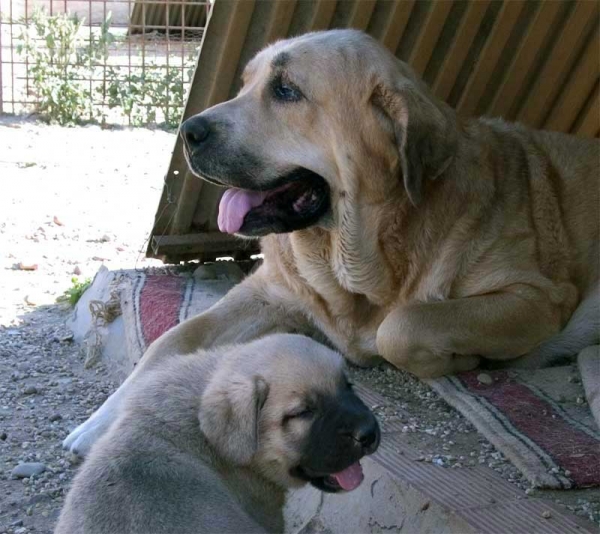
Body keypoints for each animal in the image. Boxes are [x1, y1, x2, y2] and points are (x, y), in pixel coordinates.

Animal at [63, 29, 596, 456]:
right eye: (245, 84)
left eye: (286, 90)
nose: (186, 131)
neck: (362, 256)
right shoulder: (268, 293)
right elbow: (170, 341)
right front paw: (100, 424)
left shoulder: (538, 297)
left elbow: (401, 325)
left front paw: (462, 358)